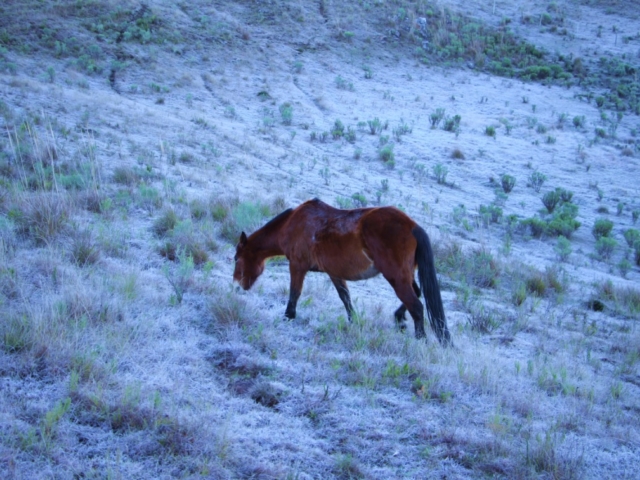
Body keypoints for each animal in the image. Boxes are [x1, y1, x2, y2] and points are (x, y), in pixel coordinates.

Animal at [234, 197, 450, 346]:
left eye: (237, 258)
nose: (237, 284)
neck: (293, 224)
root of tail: (412, 226)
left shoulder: (297, 265)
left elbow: (295, 292)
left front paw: (288, 316)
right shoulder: (334, 273)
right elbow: (345, 298)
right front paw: (354, 321)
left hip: (396, 277)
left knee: (417, 307)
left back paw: (419, 341)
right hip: (405, 276)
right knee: (416, 296)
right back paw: (399, 319)